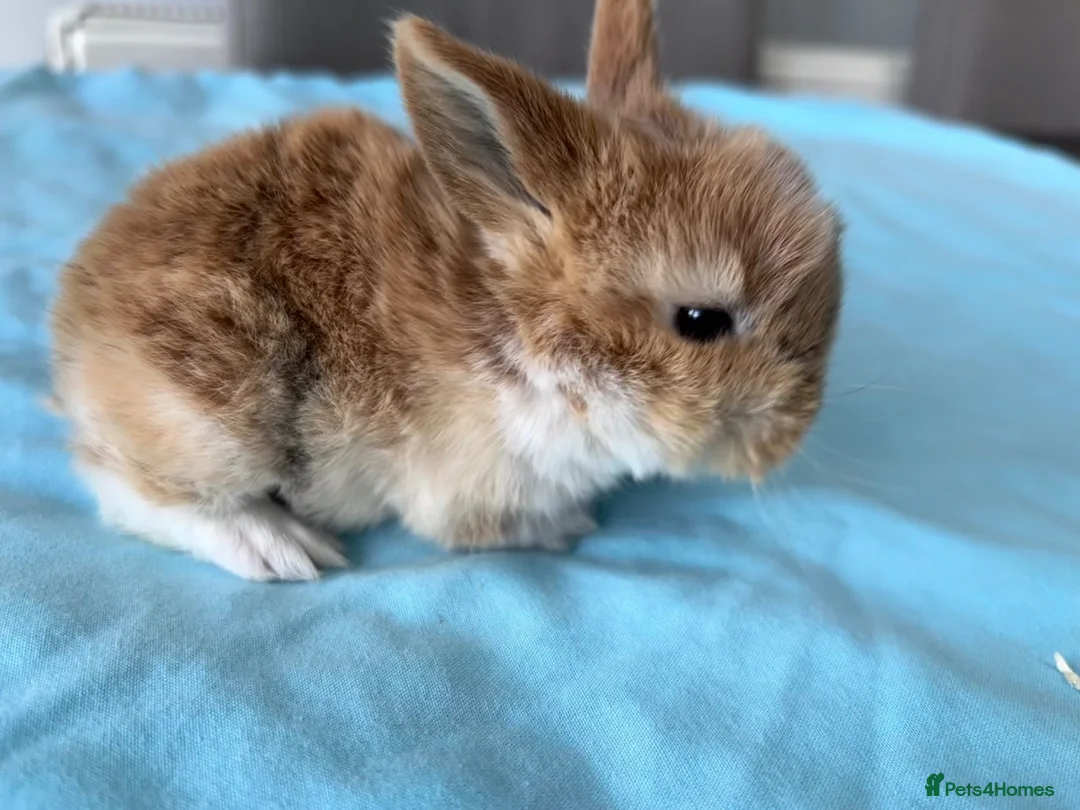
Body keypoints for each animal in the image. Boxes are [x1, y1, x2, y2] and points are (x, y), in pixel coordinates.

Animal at [49, 0, 843, 581]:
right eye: (702, 319)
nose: (790, 438)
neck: (523, 330)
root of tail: (72, 341)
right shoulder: (468, 488)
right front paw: (571, 525)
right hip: (211, 418)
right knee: (128, 488)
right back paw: (280, 548)